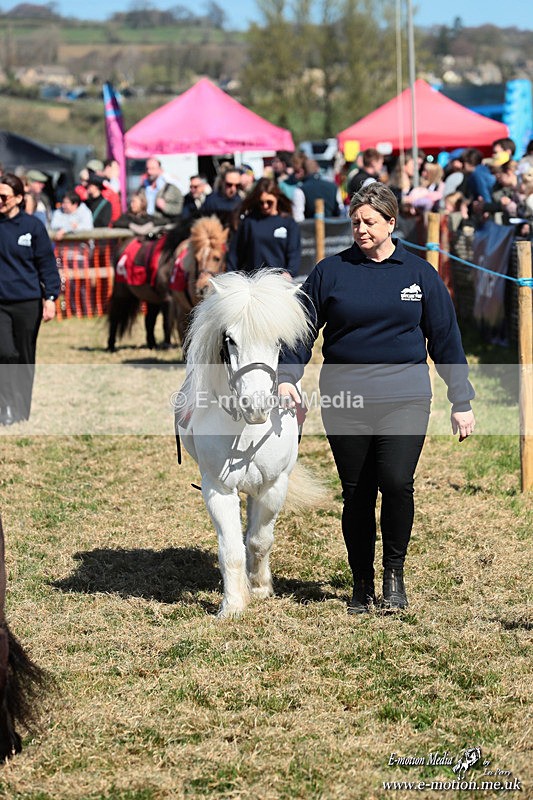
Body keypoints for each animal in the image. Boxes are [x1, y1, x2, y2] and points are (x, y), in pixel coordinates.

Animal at [177, 270, 325, 618]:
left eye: (278, 342)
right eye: (229, 339)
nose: (256, 405)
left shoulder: (273, 486)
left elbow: (259, 540)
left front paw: (258, 588)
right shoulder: (218, 489)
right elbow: (231, 548)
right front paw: (232, 605)